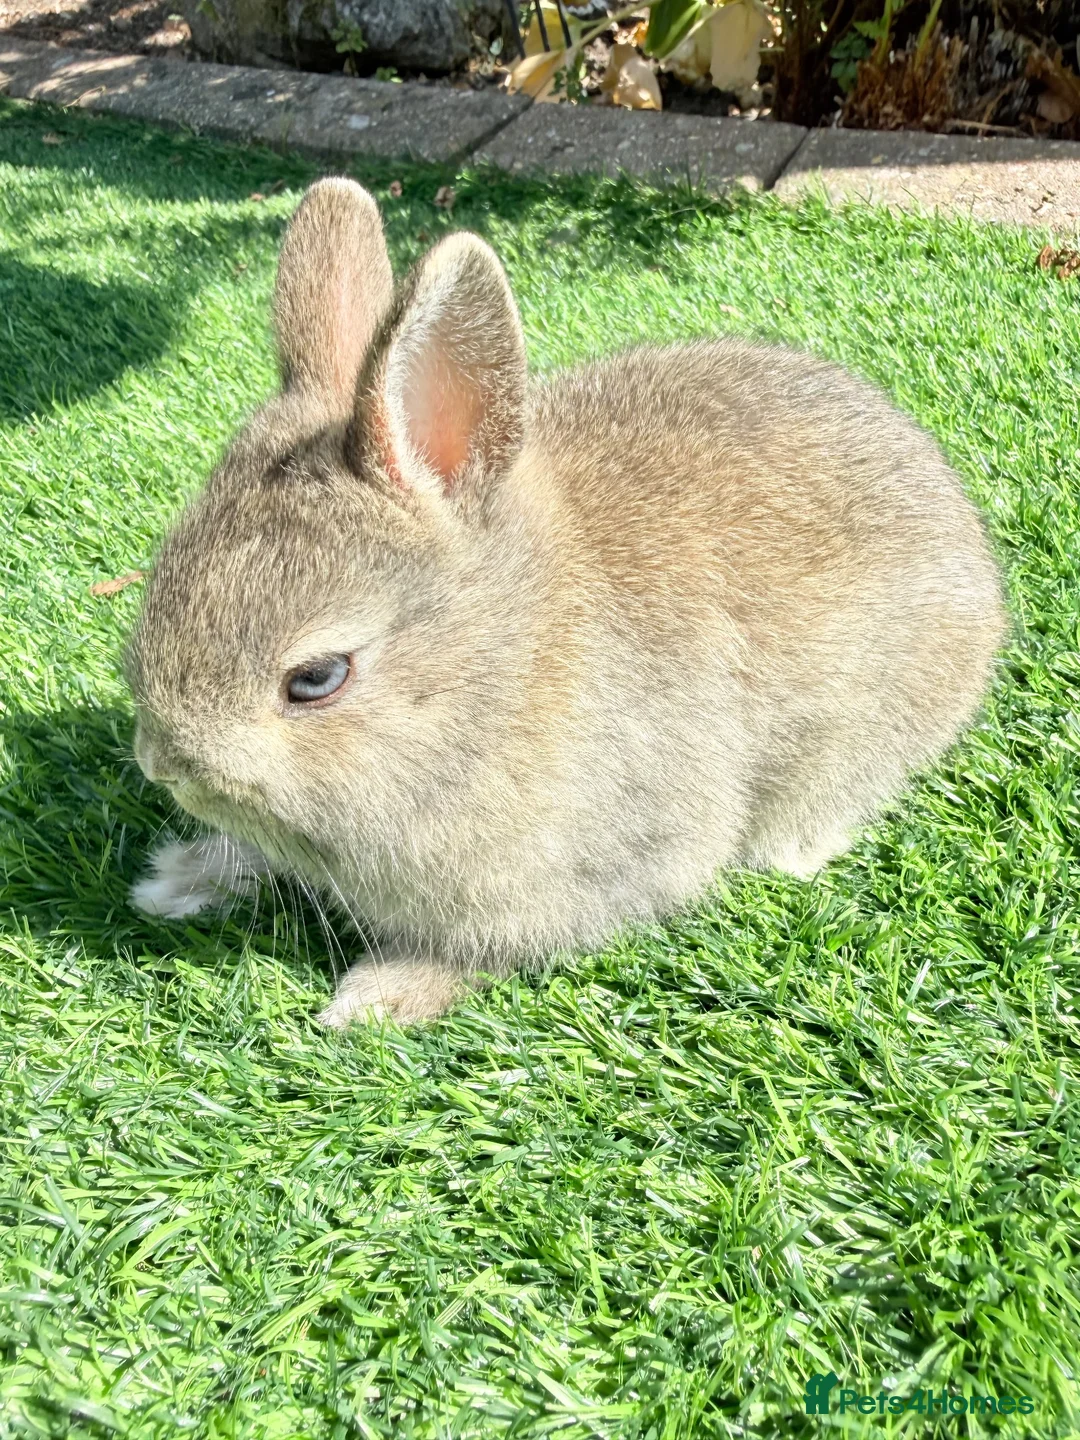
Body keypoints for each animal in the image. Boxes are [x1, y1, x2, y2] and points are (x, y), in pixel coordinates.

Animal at [127, 177, 1006, 1027]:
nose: (162, 766)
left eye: (316, 678)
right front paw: (175, 881)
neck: (497, 677)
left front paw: (376, 1000)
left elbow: (486, 947)